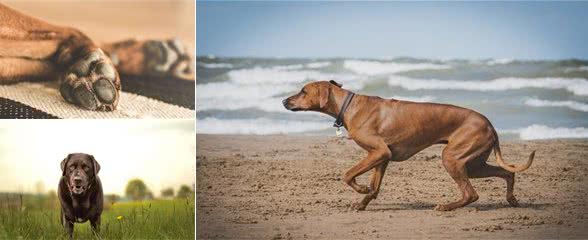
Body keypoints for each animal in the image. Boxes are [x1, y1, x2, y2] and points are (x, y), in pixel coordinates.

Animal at [282, 81, 536, 212]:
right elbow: (375, 186)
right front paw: (363, 201)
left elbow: (347, 174)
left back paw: (446, 206)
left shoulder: (379, 152)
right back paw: (512, 199)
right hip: (472, 164)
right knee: (506, 173)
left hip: (452, 158)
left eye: (303, 91)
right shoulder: (381, 157)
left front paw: (360, 190)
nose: (284, 101)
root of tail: (490, 124)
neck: (348, 105)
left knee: (471, 193)